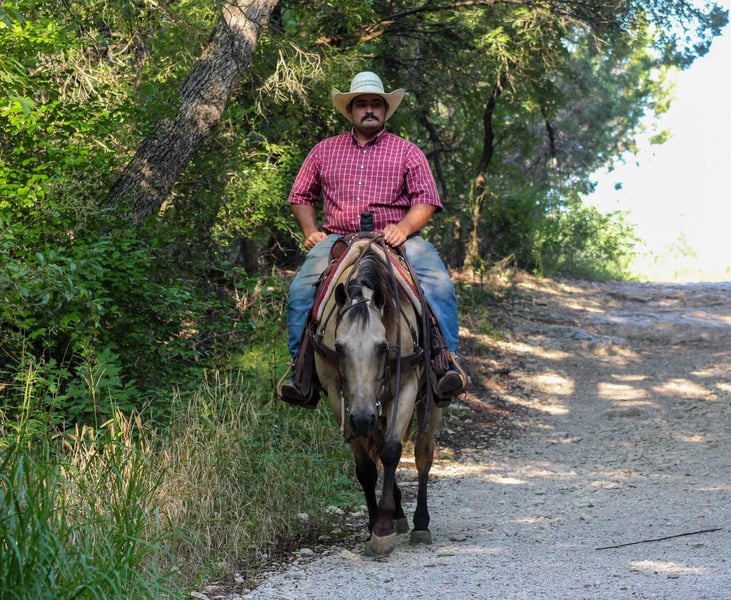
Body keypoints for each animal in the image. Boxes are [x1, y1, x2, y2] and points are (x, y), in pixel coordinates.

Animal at [311, 235, 442, 556]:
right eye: (340, 347)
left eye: (382, 347)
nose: (361, 419)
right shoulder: (340, 398)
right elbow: (367, 468)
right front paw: (375, 523)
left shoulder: (406, 388)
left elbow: (392, 451)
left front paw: (382, 530)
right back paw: (398, 513)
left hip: (430, 401)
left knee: (423, 454)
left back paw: (420, 523)